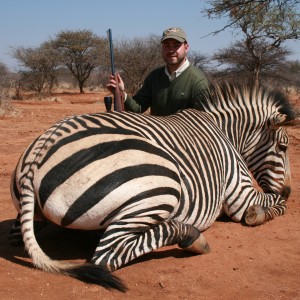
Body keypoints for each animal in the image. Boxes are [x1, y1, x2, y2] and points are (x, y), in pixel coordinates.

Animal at [9, 83, 298, 290]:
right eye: (283, 146)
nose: (288, 189)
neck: (226, 133)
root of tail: (38, 151)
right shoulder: (240, 194)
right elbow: (275, 206)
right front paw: (259, 213)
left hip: (29, 214)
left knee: (18, 236)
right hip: (161, 184)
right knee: (108, 254)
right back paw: (193, 237)